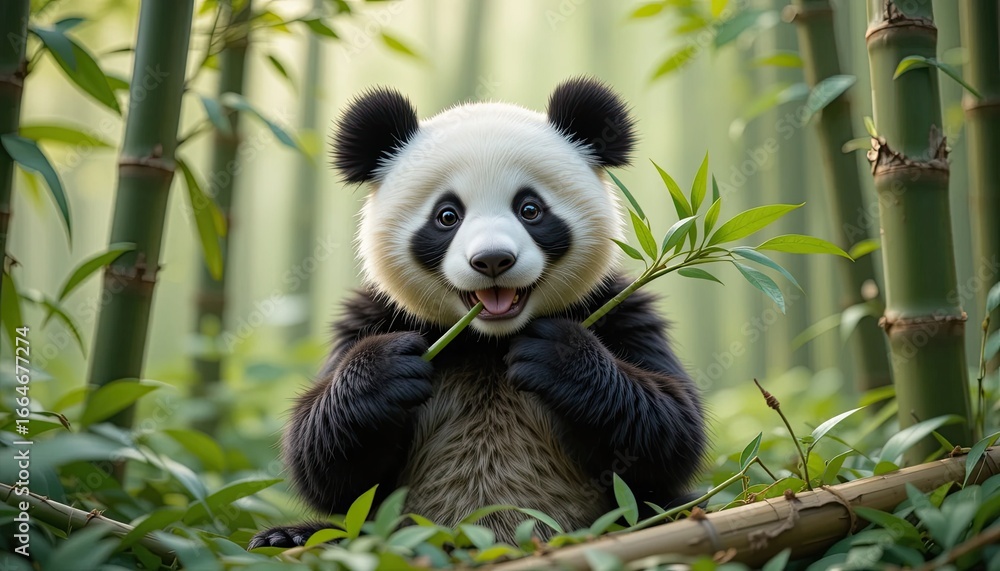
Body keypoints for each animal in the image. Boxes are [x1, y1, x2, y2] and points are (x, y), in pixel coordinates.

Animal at [249, 77, 707, 549]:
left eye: (530, 209)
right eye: (447, 215)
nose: (492, 260)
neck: (490, 340)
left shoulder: (618, 309)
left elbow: (669, 433)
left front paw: (555, 356)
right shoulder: (373, 317)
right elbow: (326, 466)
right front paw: (388, 371)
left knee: (672, 508)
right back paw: (286, 537)